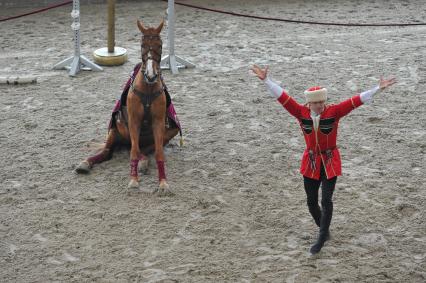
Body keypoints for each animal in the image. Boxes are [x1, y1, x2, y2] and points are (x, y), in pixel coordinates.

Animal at [75, 18, 181, 194]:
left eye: (160, 45)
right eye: (142, 45)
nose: (151, 75)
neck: (148, 88)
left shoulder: (159, 122)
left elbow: (158, 153)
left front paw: (163, 183)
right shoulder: (133, 121)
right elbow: (133, 153)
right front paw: (133, 181)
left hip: (167, 132)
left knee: (143, 150)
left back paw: (144, 162)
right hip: (114, 131)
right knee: (109, 151)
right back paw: (85, 163)